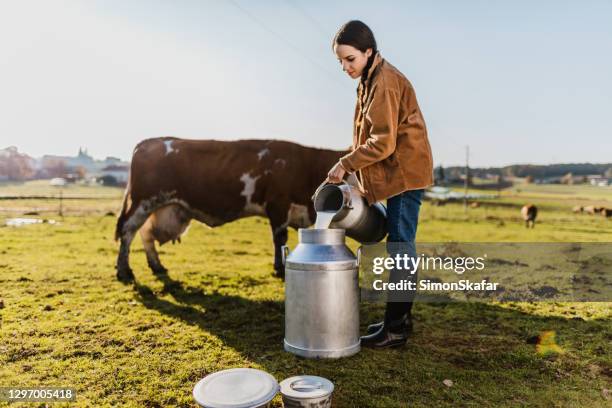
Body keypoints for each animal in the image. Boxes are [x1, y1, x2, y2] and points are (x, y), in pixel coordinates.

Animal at [113, 139, 344, 282]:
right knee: (128, 230)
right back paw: (125, 271)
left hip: (157, 206)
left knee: (145, 233)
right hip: (143, 202)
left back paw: (156, 266)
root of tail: (149, 142)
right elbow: (280, 239)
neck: (307, 163)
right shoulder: (278, 205)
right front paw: (279, 268)